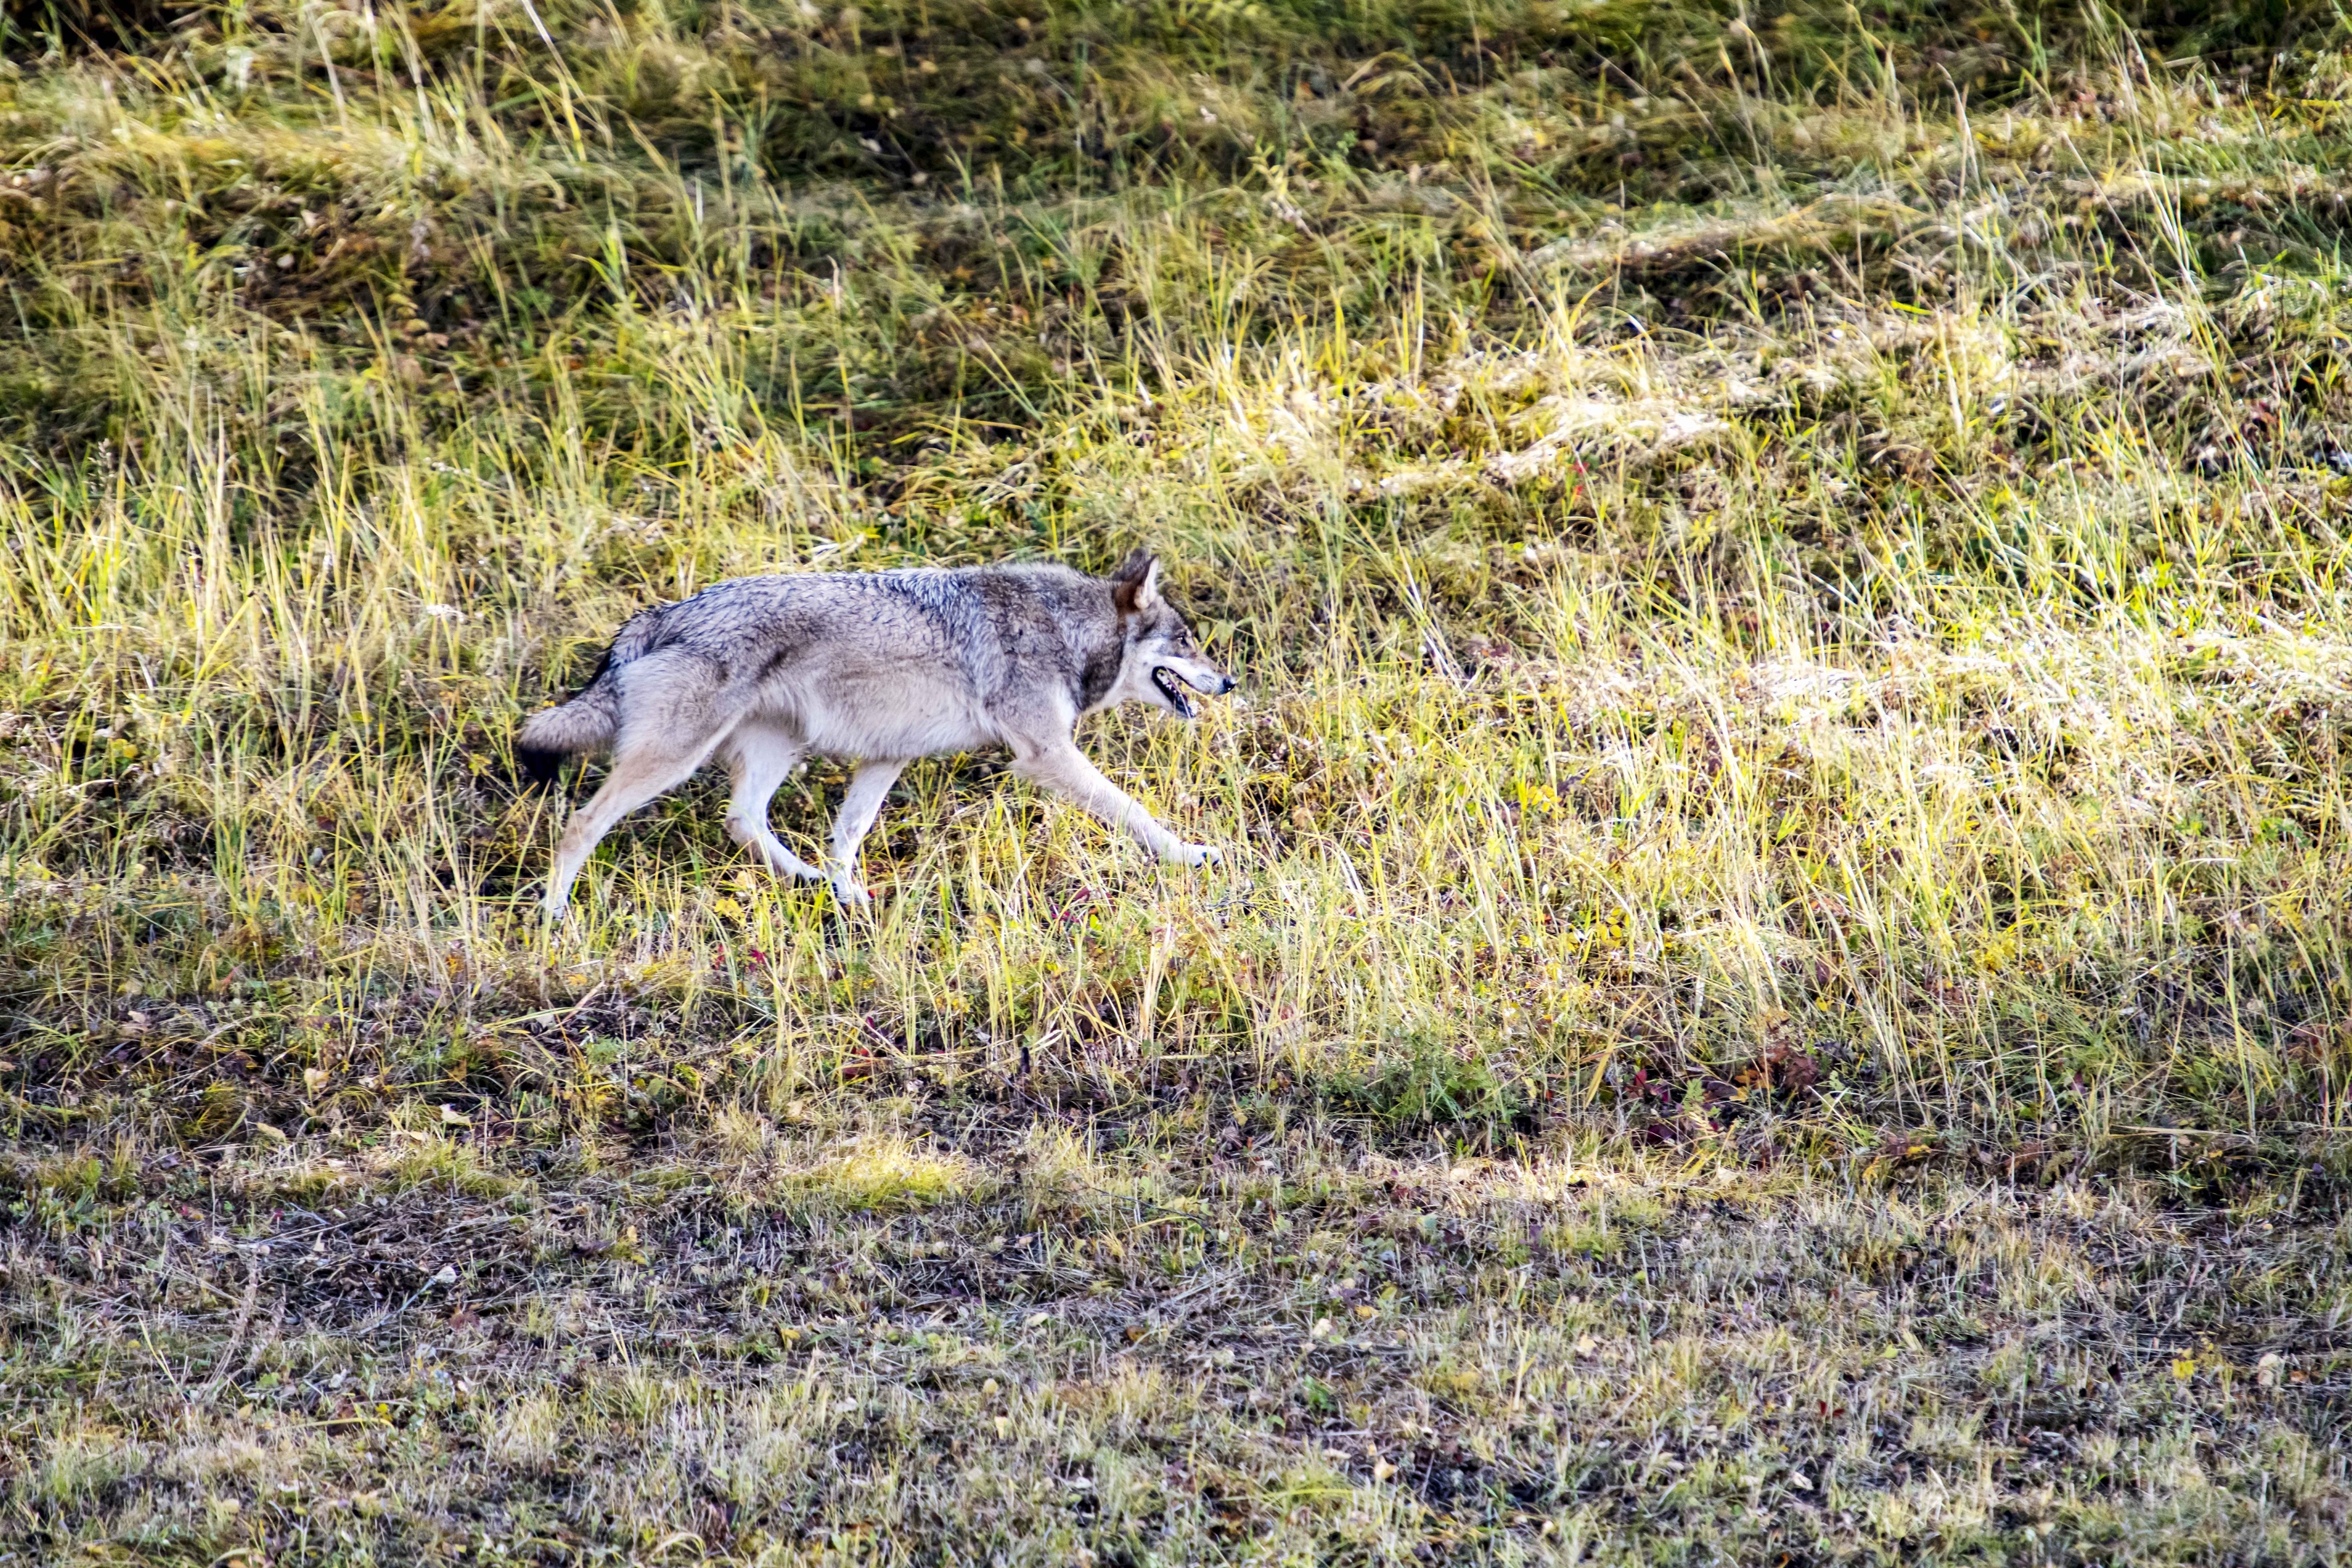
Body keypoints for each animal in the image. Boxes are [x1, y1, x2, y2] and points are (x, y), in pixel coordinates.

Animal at [517, 552, 1241, 921]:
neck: (1065, 627)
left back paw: (808, 879)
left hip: (773, 750)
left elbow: (849, 834)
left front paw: (848, 897)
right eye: (1185, 641)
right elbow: (1135, 811)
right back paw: (554, 916)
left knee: (742, 820)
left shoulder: (889, 757)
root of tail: (660, 614)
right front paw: (1192, 855)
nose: (1230, 681)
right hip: (673, 758)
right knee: (580, 824)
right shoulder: (1046, 755)